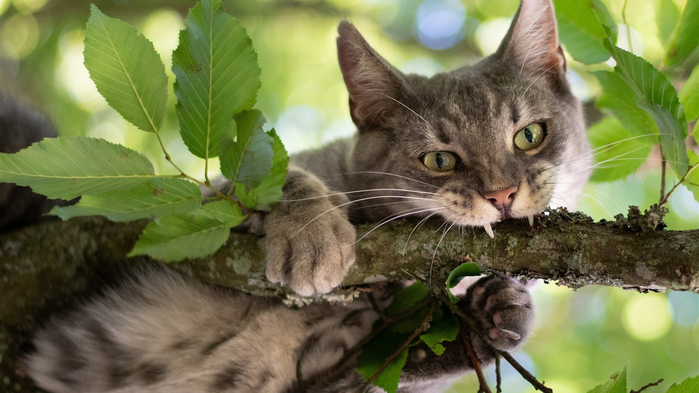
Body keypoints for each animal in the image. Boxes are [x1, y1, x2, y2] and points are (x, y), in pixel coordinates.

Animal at [19, 0, 592, 388]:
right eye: (439, 160)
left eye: (529, 135)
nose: (503, 194)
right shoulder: (203, 209)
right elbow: (282, 179)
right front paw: (312, 236)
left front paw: (487, 319)